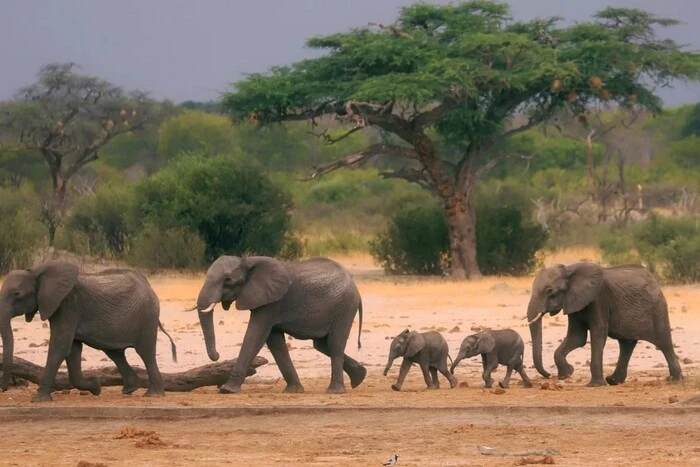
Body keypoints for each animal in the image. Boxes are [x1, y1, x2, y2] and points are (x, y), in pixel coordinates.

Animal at [0, 260, 175, 402]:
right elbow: (72, 350)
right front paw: (96, 387)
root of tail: (149, 287)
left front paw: (39, 400)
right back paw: (129, 389)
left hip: (148, 317)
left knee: (145, 353)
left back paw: (153, 395)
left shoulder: (68, 304)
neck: (35, 272)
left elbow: (60, 346)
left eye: (17, 294)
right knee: (115, 353)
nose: (4, 389)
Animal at [191, 256, 366, 394]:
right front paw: (293, 391)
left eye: (227, 280)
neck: (247, 261)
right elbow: (275, 342)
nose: (217, 355)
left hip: (344, 308)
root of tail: (355, 288)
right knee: (322, 345)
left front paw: (227, 390)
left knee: (335, 344)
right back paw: (360, 377)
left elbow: (255, 335)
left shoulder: (272, 303)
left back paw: (334, 391)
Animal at [524, 264, 684, 388]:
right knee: (626, 344)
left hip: (657, 307)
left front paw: (595, 385)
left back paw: (676, 380)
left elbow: (598, 333)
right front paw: (567, 374)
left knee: (664, 342)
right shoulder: (574, 302)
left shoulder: (599, 299)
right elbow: (577, 338)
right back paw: (613, 381)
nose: (548, 375)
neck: (570, 270)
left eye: (550, 291)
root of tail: (654, 279)